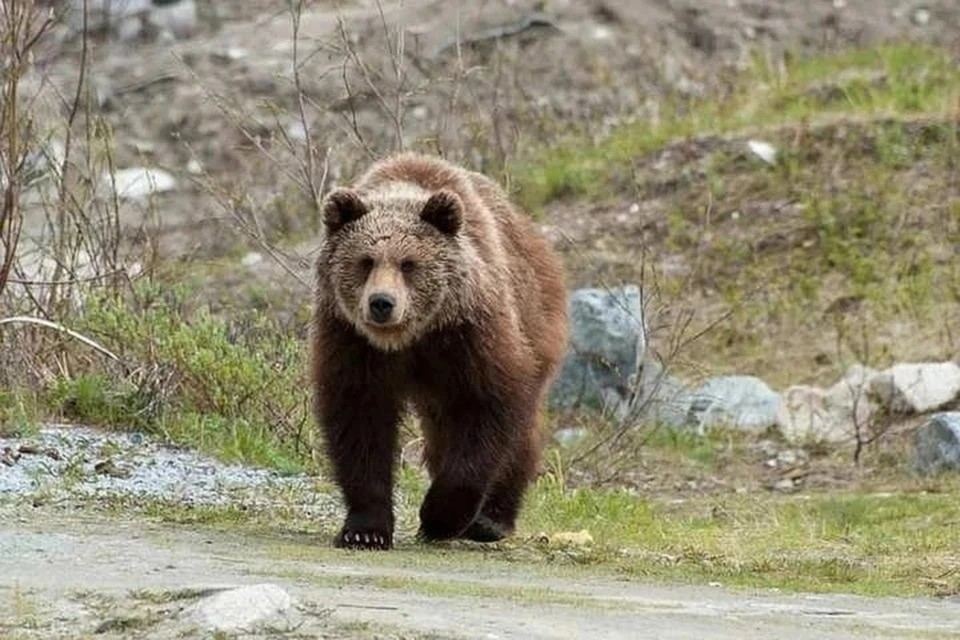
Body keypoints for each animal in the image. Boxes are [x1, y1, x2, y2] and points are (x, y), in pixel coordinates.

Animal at [312, 152, 568, 548]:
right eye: (366, 261)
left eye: (408, 264)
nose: (381, 303)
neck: (410, 338)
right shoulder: (351, 341)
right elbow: (359, 419)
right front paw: (365, 530)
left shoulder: (469, 335)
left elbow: (487, 407)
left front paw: (439, 517)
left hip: (536, 321)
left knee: (518, 436)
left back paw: (492, 520)